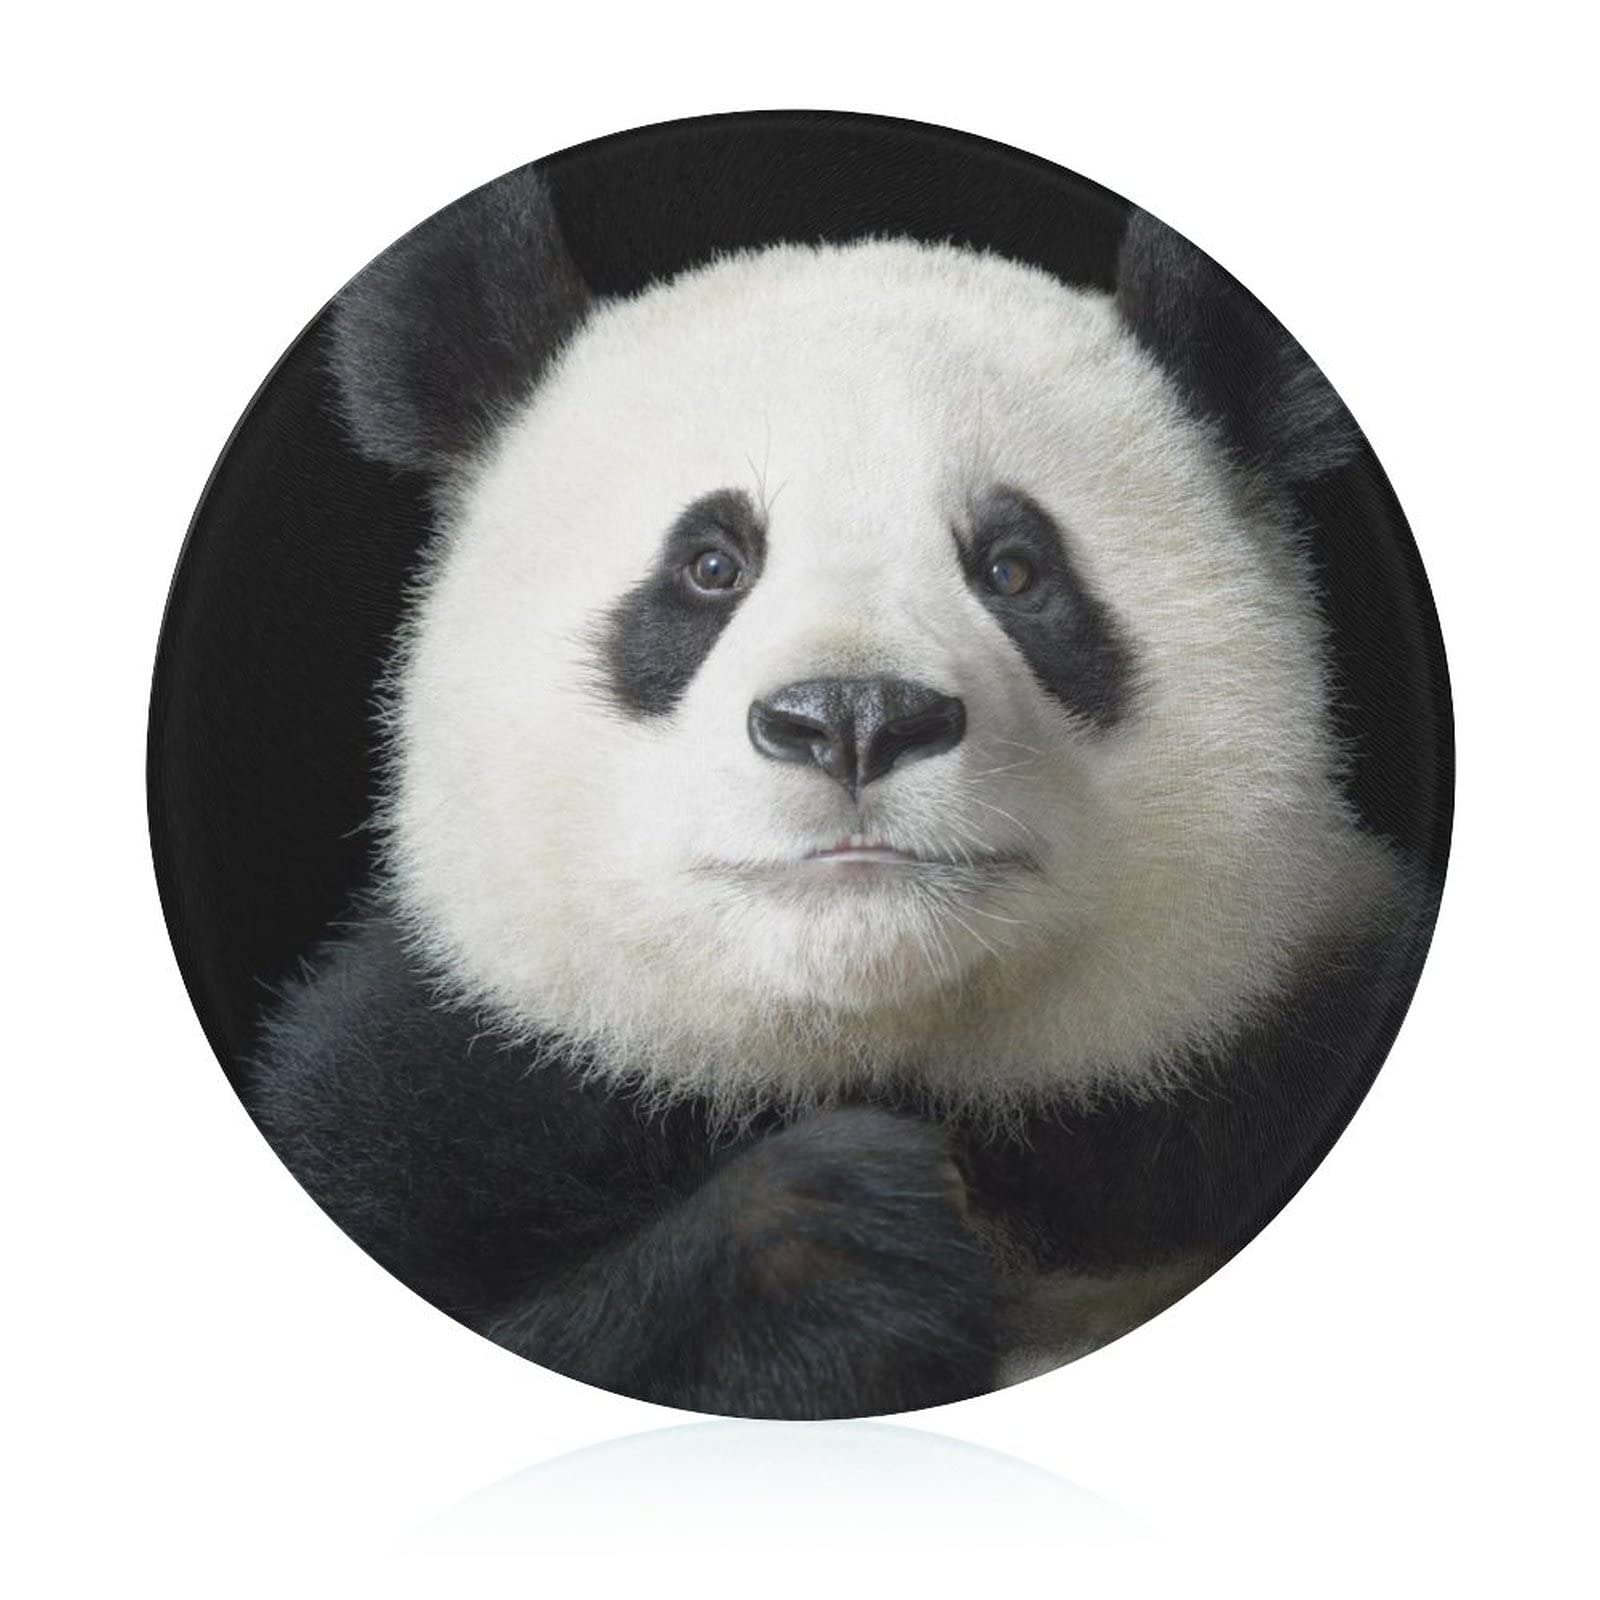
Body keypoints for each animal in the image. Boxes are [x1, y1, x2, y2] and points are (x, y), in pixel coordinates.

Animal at [249, 165, 1438, 1419]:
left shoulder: (1282, 1041)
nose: (855, 718)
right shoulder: (439, 1097)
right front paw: (835, 1243)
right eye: (709, 566)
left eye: (1015, 569)